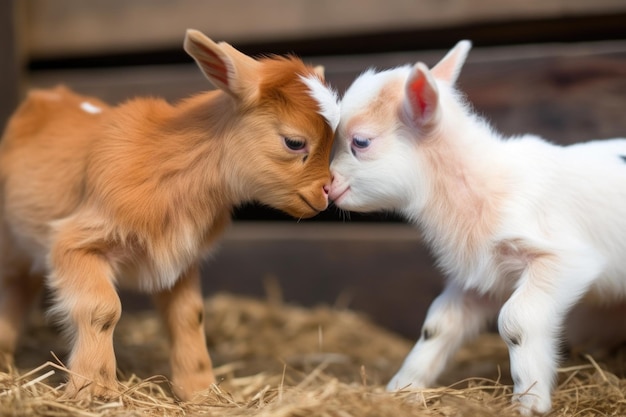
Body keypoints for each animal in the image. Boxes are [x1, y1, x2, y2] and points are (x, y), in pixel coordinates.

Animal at [326, 39, 624, 412]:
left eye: (361, 142)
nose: (327, 186)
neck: (482, 184)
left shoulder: (565, 258)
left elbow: (516, 321)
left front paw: (530, 402)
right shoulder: (480, 274)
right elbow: (437, 325)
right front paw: (402, 389)